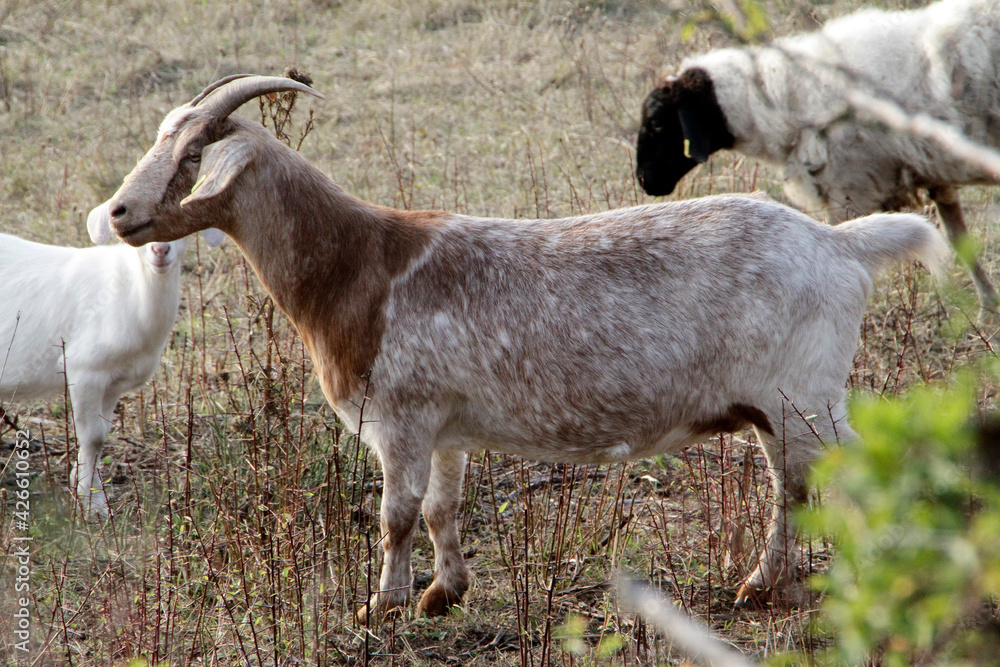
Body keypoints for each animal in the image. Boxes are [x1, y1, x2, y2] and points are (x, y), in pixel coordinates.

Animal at [0, 206, 222, 518]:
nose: (159, 249)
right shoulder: (85, 370)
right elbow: (92, 437)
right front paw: (89, 503)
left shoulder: (114, 381)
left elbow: (103, 435)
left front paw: (91, 492)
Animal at [102, 74, 948, 615]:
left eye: (190, 159)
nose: (118, 213)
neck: (358, 266)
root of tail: (840, 244)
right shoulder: (445, 426)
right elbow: (441, 508)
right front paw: (442, 593)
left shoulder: (400, 418)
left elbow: (396, 514)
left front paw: (379, 604)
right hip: (778, 407)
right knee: (792, 487)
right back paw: (761, 584)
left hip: (805, 396)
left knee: (863, 466)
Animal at [635, 0, 1000, 311]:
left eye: (657, 123)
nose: (643, 180)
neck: (780, 95)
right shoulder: (934, 173)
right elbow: (959, 239)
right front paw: (988, 308)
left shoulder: (850, 190)